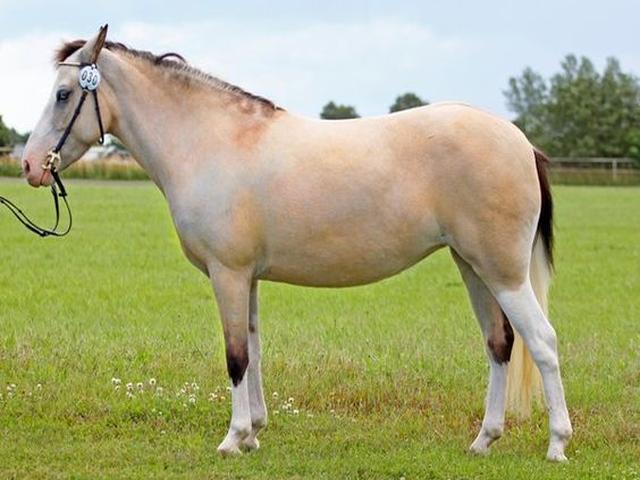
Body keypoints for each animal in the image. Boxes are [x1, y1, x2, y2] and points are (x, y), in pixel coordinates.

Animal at [21, 26, 572, 460]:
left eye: (64, 94)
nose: (28, 165)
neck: (212, 142)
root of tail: (522, 142)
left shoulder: (227, 273)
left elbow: (235, 356)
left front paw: (232, 439)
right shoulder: (247, 278)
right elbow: (254, 350)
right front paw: (254, 434)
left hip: (503, 272)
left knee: (542, 342)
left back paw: (557, 444)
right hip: (471, 265)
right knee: (499, 344)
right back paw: (483, 440)